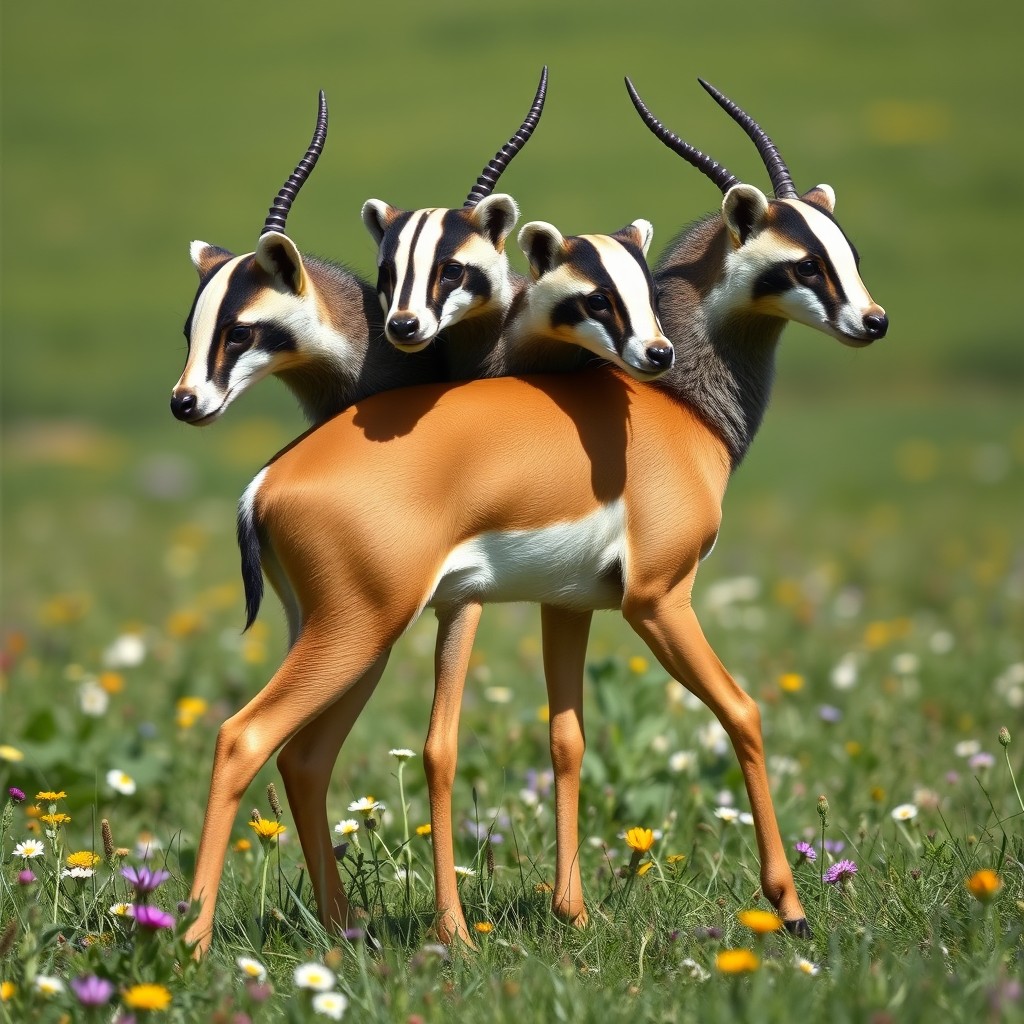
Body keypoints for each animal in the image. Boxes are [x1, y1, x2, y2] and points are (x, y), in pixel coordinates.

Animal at [183, 78, 886, 955]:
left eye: (848, 250)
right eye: (805, 260)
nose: (873, 320)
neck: (677, 409)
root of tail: (267, 480)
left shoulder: (569, 605)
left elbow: (566, 739)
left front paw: (572, 911)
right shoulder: (660, 599)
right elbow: (744, 713)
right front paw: (789, 909)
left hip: (350, 636)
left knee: (305, 756)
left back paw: (350, 932)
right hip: (357, 630)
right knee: (243, 737)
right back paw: (190, 940)